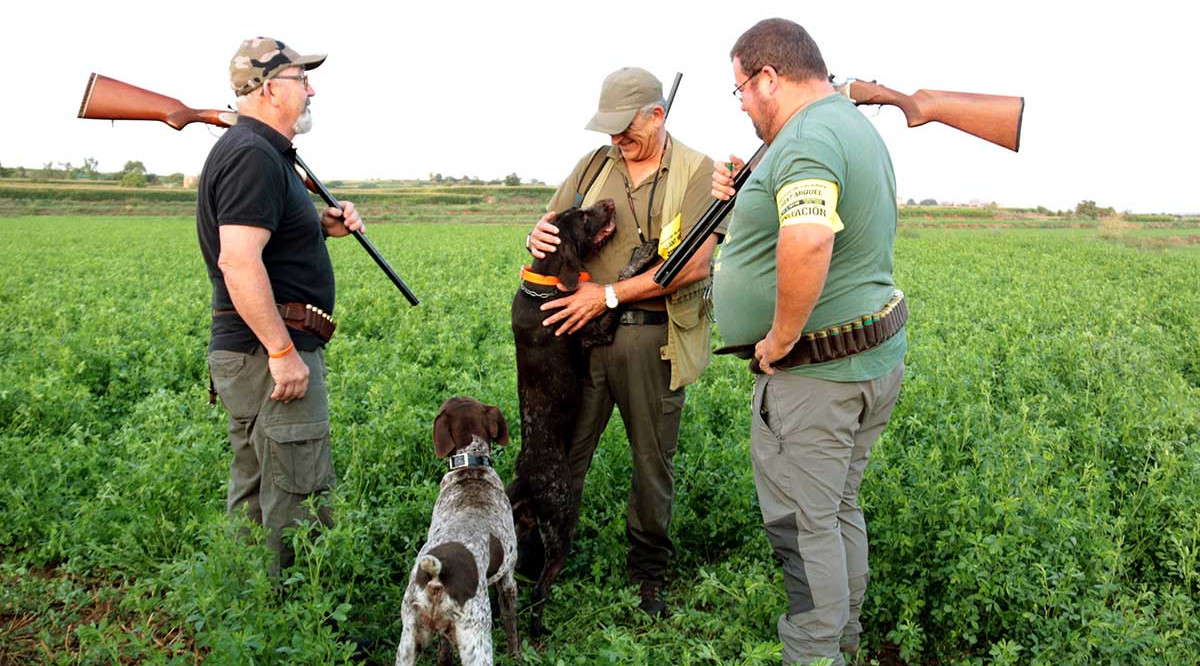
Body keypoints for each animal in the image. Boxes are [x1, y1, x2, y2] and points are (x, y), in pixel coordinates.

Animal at [398, 398, 520, 662]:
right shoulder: (508, 577)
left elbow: (444, 653)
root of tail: (437, 577)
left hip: (407, 645)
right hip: (478, 639)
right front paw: (517, 655)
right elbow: (511, 626)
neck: (471, 465)